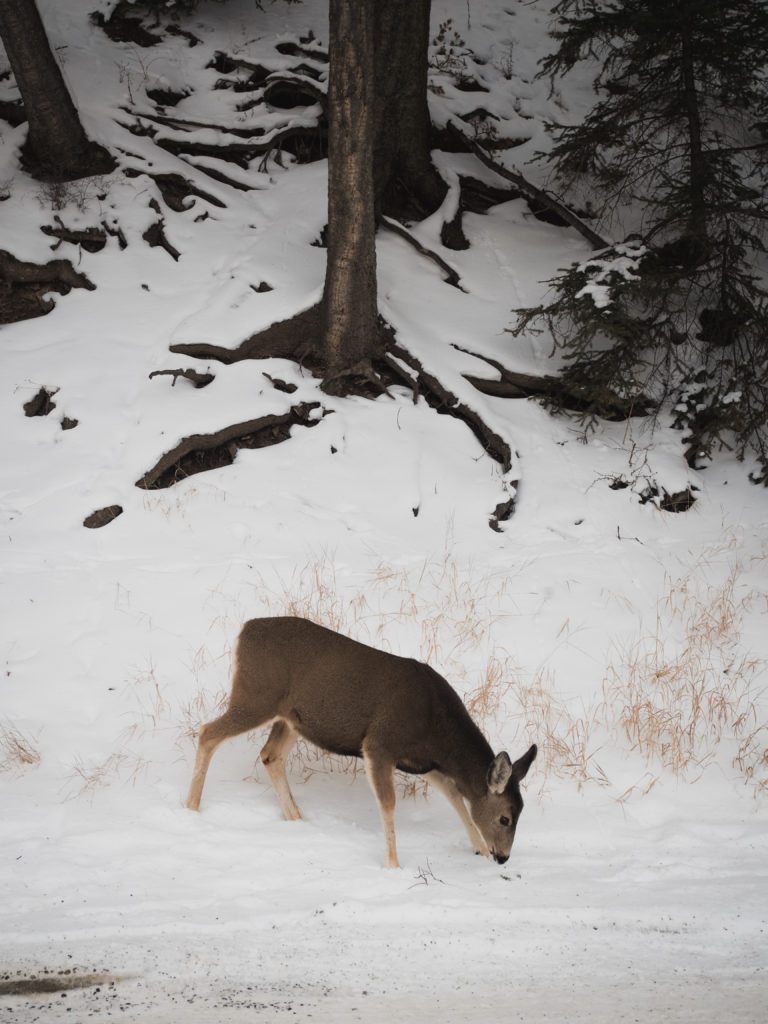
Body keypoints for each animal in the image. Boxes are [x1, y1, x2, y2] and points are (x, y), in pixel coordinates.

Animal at [185, 614, 536, 864]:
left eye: (519, 813)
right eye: (505, 818)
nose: (503, 858)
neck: (436, 727)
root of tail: (244, 631)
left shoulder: (425, 761)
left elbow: (455, 796)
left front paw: (479, 849)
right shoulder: (380, 743)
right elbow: (389, 803)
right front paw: (394, 864)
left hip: (291, 718)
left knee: (270, 755)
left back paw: (297, 819)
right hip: (256, 695)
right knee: (208, 733)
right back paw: (191, 807)